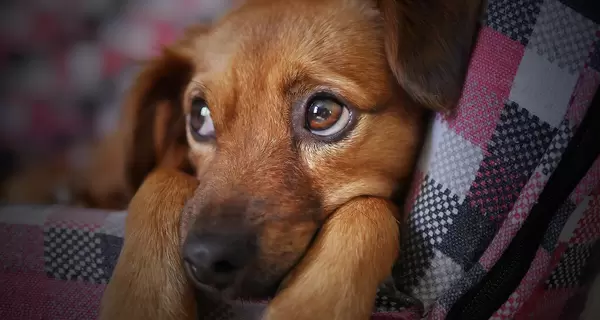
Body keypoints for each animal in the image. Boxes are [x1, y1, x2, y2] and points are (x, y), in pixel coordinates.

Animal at [98, 0, 482, 318]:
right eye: (200, 116)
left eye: (323, 113)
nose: (205, 260)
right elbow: (161, 178)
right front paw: (142, 299)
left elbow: (367, 209)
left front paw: (310, 304)